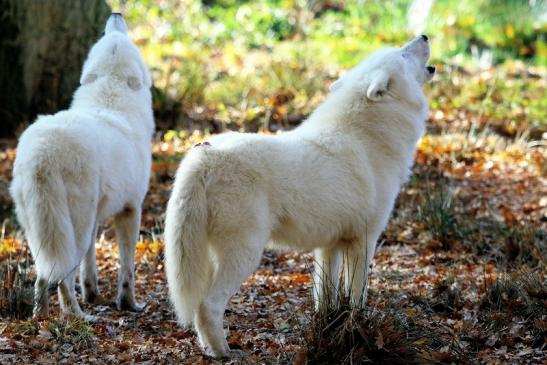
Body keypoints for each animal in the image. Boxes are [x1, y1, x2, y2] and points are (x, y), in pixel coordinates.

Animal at [10, 12, 154, 318]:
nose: (116, 13)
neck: (110, 96)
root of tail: (42, 153)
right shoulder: (131, 210)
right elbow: (128, 268)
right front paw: (129, 304)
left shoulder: (96, 219)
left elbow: (89, 264)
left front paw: (92, 294)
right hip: (72, 226)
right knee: (63, 278)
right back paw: (77, 317)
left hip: (44, 230)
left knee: (44, 275)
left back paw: (40, 317)